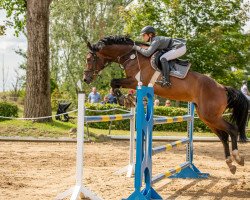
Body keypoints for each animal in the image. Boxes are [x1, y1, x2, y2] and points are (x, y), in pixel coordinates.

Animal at [83, 35, 248, 174]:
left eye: (89, 59)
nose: (86, 79)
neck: (131, 56)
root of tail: (222, 88)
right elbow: (114, 83)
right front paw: (126, 99)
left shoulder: (136, 82)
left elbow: (114, 82)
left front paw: (123, 98)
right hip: (206, 116)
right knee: (223, 136)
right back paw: (230, 164)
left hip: (211, 115)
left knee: (232, 130)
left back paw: (238, 158)